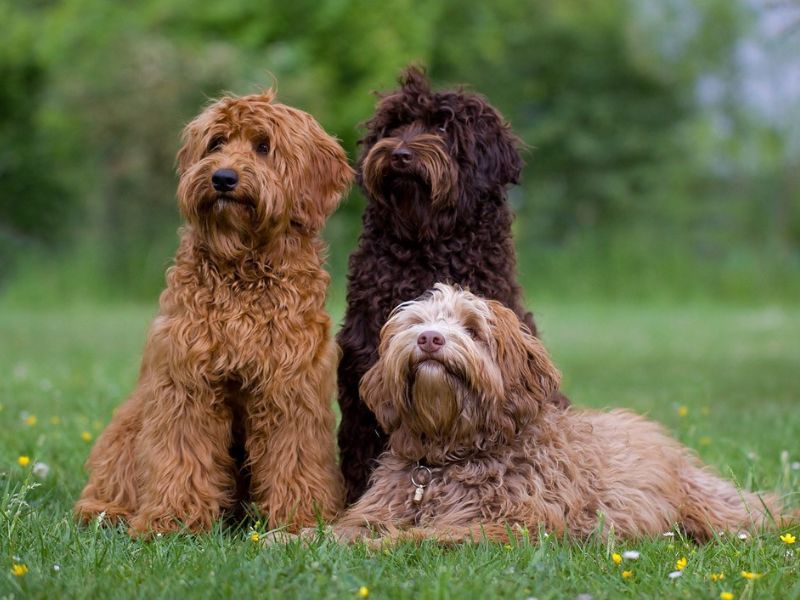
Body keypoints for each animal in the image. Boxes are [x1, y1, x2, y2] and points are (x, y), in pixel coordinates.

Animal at [75, 90, 350, 536]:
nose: (223, 178)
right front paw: (172, 520)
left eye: (263, 146)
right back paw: (107, 511)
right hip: (129, 424)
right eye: (216, 143)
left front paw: (301, 518)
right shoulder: (187, 384)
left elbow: (295, 455)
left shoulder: (290, 388)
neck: (242, 271)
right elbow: (181, 452)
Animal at [326, 286, 792, 544]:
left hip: (713, 506)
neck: (443, 458)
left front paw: (375, 545)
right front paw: (312, 538)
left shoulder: (513, 526)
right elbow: (347, 527)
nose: (429, 338)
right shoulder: (381, 507)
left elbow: (420, 537)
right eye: (414, 324)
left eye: (473, 329)